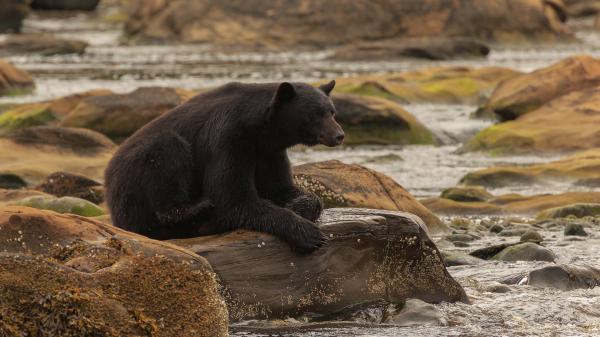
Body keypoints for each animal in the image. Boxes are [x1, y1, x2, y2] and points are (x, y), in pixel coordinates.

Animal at [105, 80, 344, 251]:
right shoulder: (226, 139)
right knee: (166, 151)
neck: (260, 130)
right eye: (316, 113)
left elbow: (280, 187)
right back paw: (198, 210)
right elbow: (233, 198)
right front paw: (310, 234)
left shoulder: (268, 152)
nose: (339, 135)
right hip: (134, 187)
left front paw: (300, 206)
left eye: (332, 111)